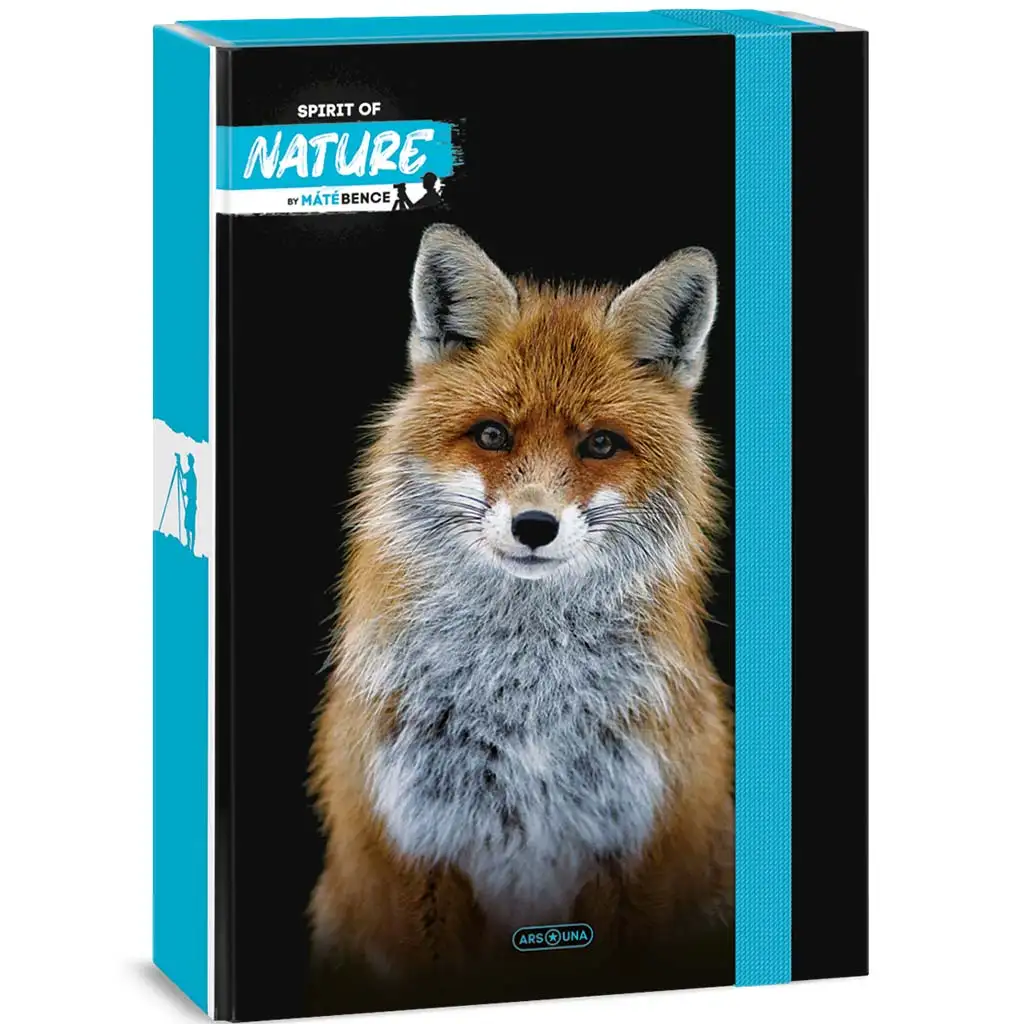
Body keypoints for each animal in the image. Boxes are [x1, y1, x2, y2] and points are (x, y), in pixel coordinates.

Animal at [309, 224, 733, 1003]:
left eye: (600, 443)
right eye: (492, 436)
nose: (535, 526)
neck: (524, 706)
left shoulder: (638, 851)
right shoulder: (411, 854)